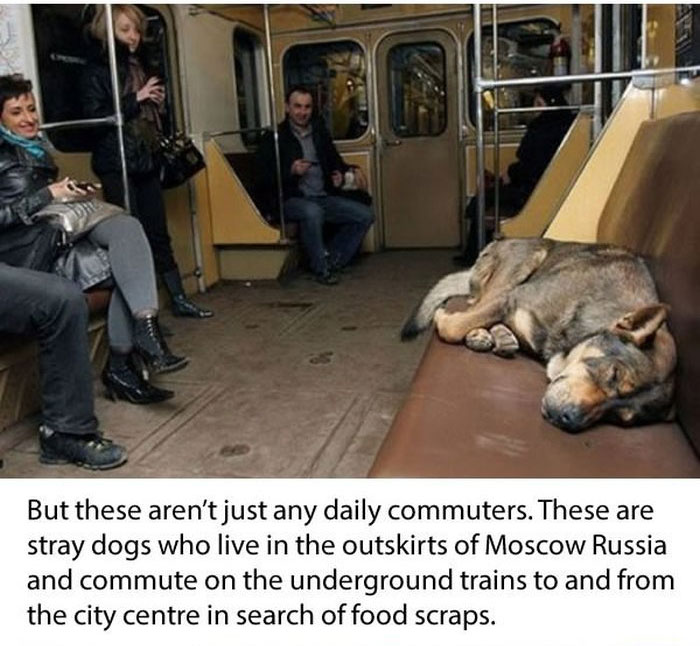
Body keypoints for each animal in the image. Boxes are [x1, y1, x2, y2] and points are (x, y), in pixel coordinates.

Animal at [402, 239, 676, 436]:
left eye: (619, 418)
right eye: (614, 374)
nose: (569, 420)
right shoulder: (511, 297)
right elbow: (454, 325)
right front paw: (443, 316)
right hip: (519, 266)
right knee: (475, 302)